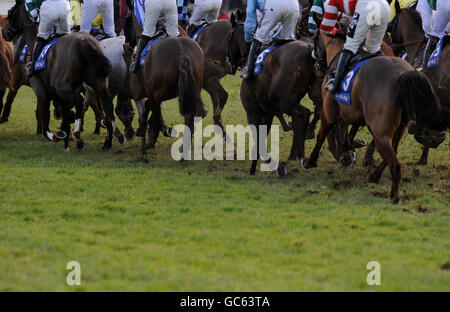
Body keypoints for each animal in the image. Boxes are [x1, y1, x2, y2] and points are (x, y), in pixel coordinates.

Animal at [300, 31, 448, 202]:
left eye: (314, 38)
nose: (317, 67)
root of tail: (401, 75)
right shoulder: (352, 113)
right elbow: (345, 130)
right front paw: (346, 153)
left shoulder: (329, 111)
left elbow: (322, 135)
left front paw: (310, 161)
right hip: (398, 128)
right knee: (392, 153)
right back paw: (375, 175)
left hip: (380, 132)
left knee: (395, 164)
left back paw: (393, 196)